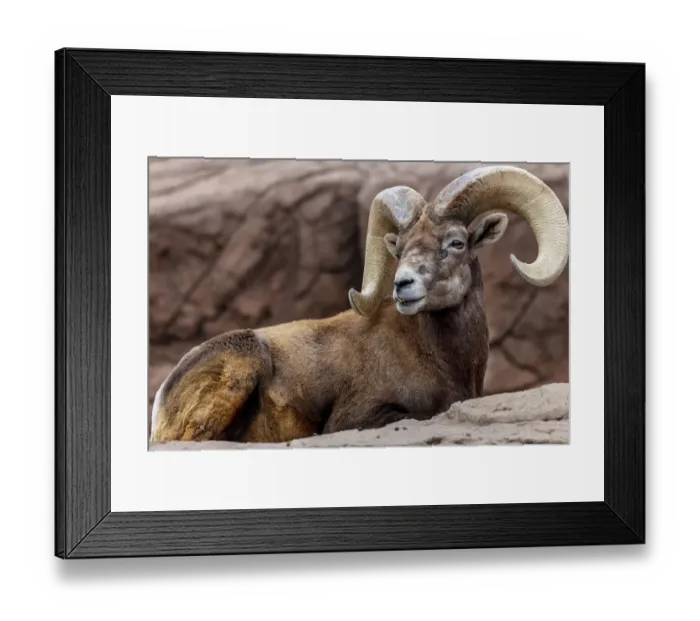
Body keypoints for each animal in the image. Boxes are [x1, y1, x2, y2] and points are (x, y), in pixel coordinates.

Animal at [150, 165, 569, 444]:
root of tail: (163, 398)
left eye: (456, 243)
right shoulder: (359, 416)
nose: (403, 284)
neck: (440, 357)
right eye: (400, 248)